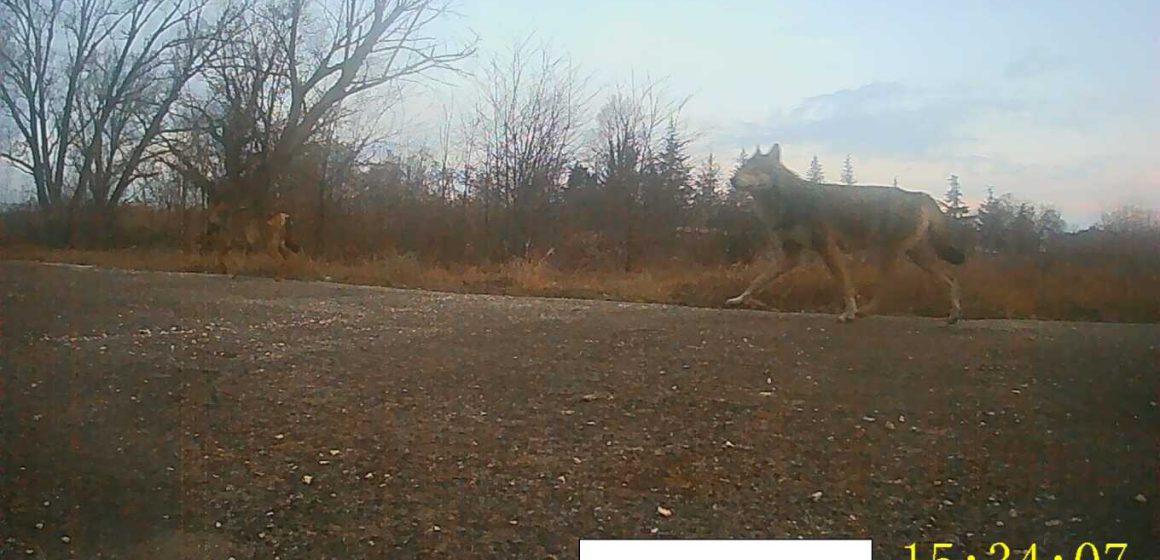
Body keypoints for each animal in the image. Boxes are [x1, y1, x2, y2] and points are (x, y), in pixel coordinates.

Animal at [723, 144, 969, 324]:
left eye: (754, 169)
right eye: (743, 167)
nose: (732, 180)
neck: (786, 202)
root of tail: (920, 195)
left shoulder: (827, 248)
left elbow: (845, 285)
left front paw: (849, 312)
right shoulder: (791, 256)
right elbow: (757, 280)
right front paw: (738, 299)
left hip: (886, 254)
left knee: (891, 287)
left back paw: (864, 312)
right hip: (916, 256)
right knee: (951, 279)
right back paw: (954, 315)